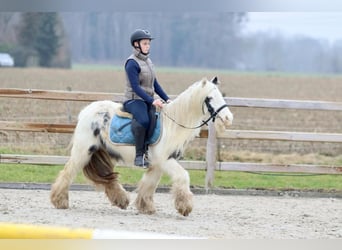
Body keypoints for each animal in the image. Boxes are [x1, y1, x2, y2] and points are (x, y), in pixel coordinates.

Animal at [50, 77, 232, 216]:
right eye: (209, 98)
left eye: (221, 96)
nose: (228, 118)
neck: (172, 125)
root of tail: (86, 111)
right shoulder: (165, 161)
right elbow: (183, 176)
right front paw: (185, 206)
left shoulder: (157, 164)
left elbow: (149, 184)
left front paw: (146, 207)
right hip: (83, 152)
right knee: (67, 172)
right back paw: (59, 201)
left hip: (100, 151)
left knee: (108, 178)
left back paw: (121, 200)